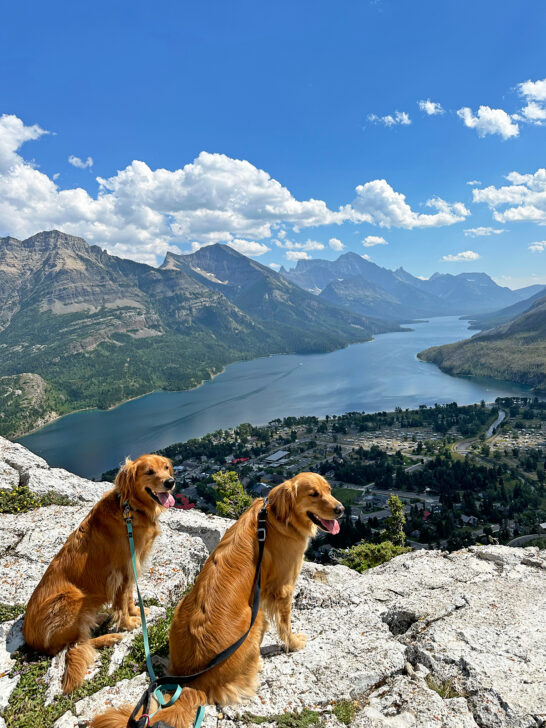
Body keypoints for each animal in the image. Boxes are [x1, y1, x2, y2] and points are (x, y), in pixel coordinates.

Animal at [23, 456, 175, 692]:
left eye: (166, 468)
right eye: (149, 471)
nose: (170, 482)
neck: (131, 509)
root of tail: (30, 638)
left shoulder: (131, 566)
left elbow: (129, 597)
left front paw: (136, 612)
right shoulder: (121, 570)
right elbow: (121, 601)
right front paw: (129, 623)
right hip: (71, 598)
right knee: (76, 644)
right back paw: (110, 637)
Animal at [91, 470, 342, 724]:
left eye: (329, 490)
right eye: (313, 494)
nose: (340, 509)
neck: (276, 517)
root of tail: (195, 682)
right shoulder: (283, 587)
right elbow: (285, 623)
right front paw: (294, 643)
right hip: (253, 619)